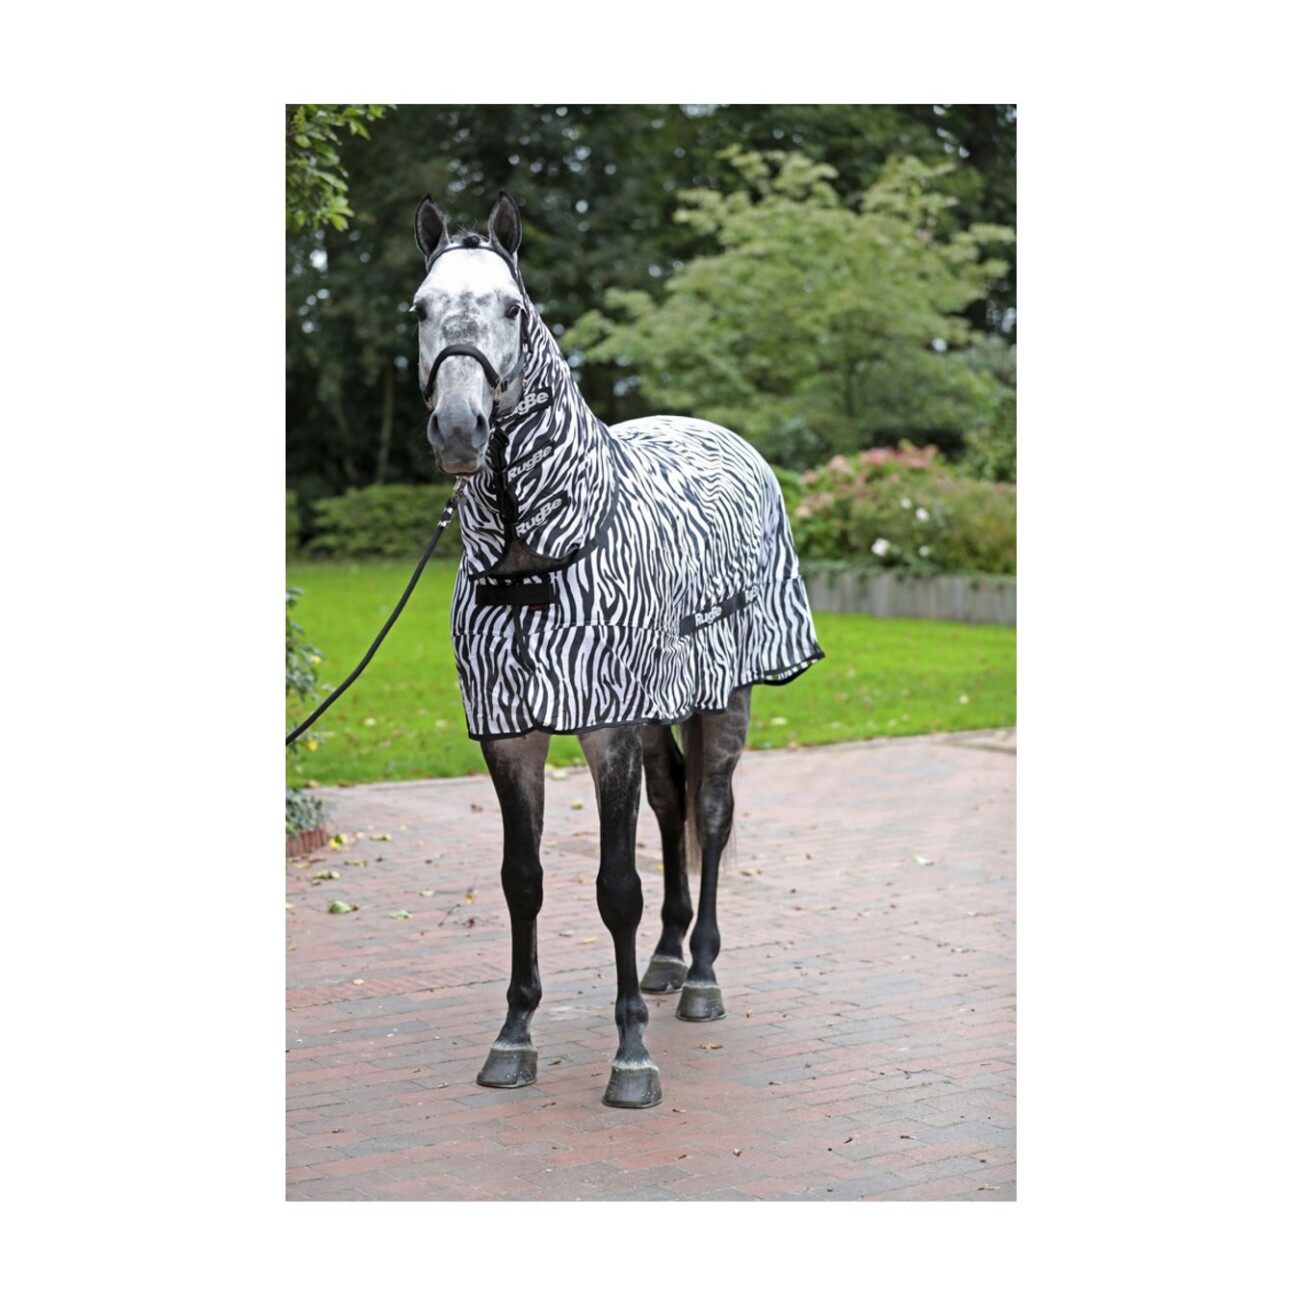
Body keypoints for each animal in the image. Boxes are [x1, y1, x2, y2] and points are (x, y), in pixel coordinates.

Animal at [413, 192, 824, 1107]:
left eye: (513, 308)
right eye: (420, 309)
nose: (458, 428)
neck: (533, 561)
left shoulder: (604, 728)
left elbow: (615, 889)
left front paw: (631, 1056)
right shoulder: (512, 732)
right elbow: (522, 880)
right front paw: (514, 1036)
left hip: (724, 696)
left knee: (711, 810)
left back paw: (699, 976)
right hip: (653, 710)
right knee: (673, 802)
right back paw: (668, 960)